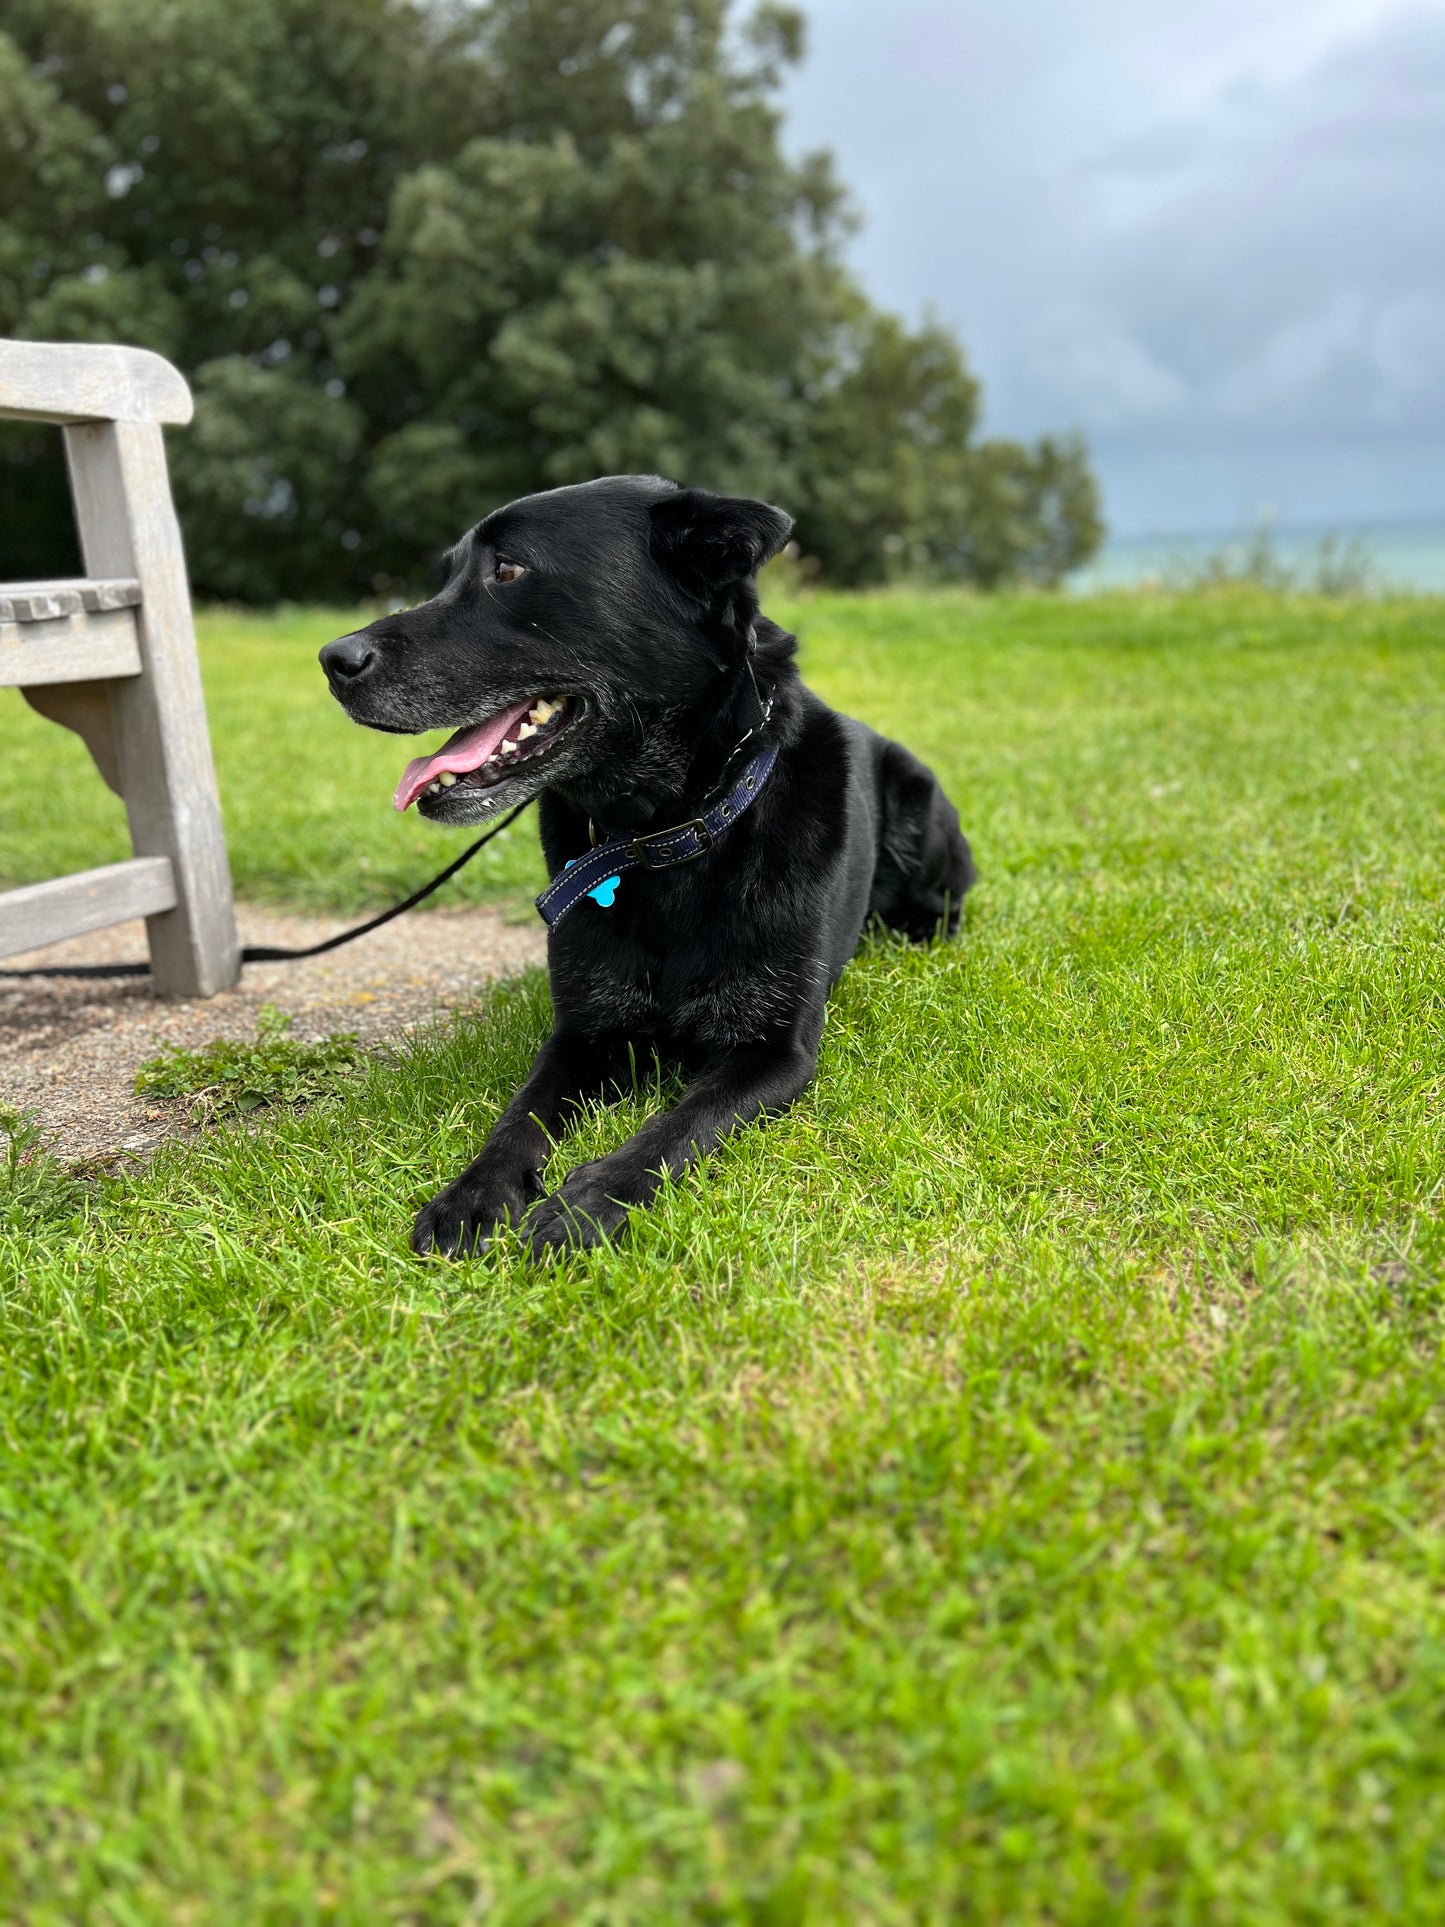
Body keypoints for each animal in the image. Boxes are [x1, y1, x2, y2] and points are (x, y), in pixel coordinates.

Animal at [321, 474, 978, 1256]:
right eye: (446, 574)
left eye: (507, 570)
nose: (333, 659)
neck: (663, 837)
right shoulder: (582, 1034)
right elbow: (520, 1115)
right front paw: (475, 1193)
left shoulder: (774, 1051)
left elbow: (676, 1125)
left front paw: (586, 1200)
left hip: (919, 806)